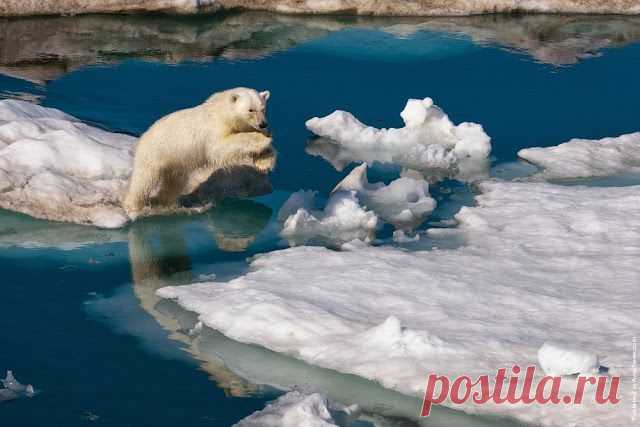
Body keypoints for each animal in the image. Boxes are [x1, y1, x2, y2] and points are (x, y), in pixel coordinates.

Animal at [124, 88, 276, 219]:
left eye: (263, 109)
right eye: (251, 109)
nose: (263, 124)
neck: (222, 111)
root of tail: (143, 136)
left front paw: (265, 162)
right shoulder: (214, 128)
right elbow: (221, 148)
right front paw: (262, 139)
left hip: (175, 163)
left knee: (173, 183)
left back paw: (166, 202)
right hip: (154, 154)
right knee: (144, 180)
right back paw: (133, 206)